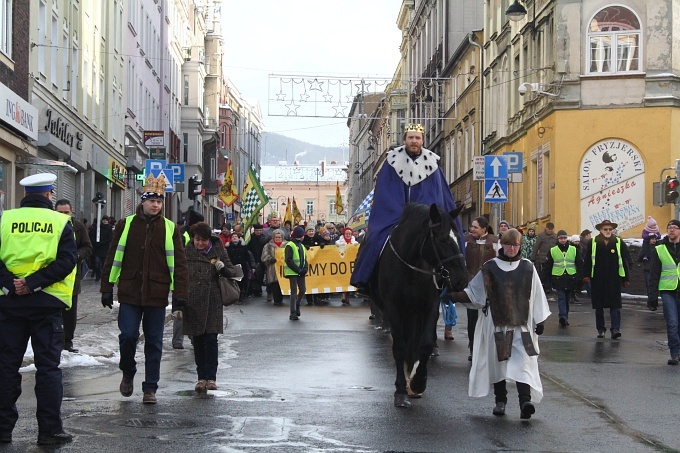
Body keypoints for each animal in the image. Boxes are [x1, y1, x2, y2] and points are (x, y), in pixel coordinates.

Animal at [372, 202, 468, 406]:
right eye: (442, 239)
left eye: (458, 236)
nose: (462, 279)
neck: (411, 265)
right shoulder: (394, 309)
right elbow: (399, 348)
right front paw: (401, 390)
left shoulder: (429, 307)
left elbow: (424, 346)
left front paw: (418, 382)